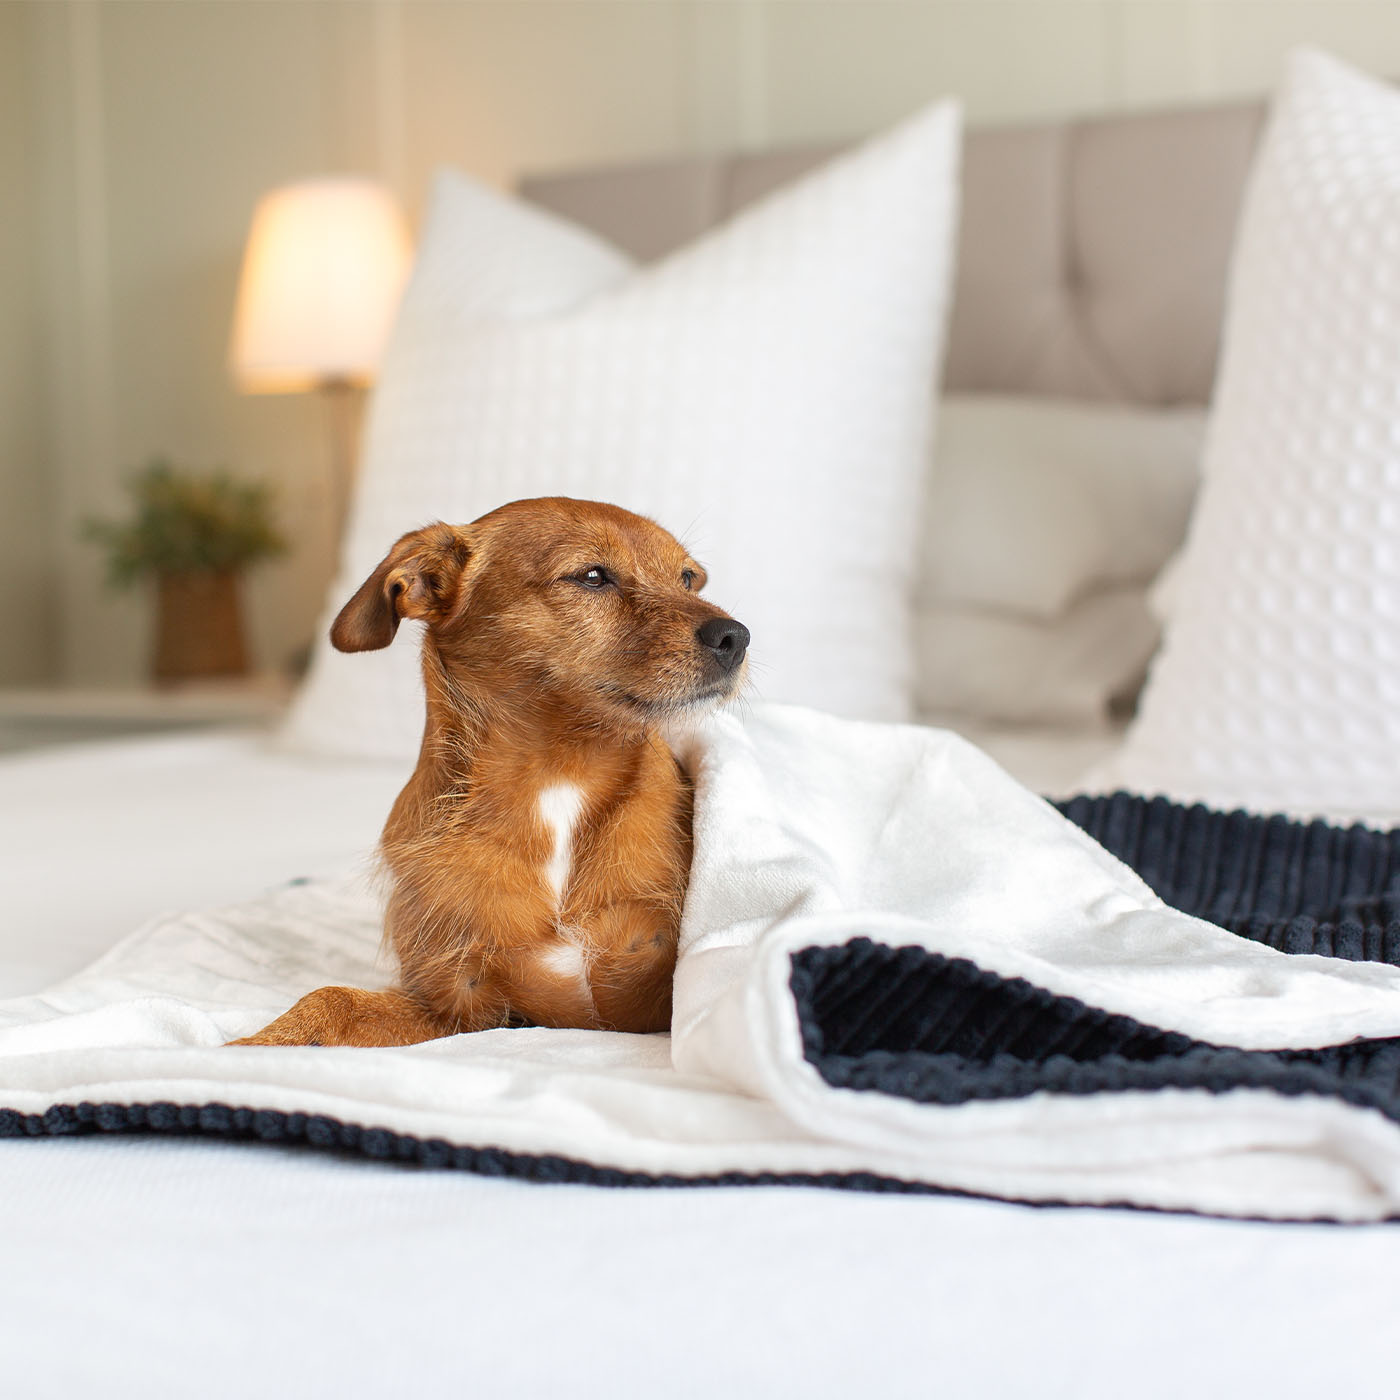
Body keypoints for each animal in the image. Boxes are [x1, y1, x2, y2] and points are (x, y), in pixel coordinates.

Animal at [235, 498, 750, 1047]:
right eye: (593, 576)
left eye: (689, 579)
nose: (735, 636)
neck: (558, 774)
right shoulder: (460, 1007)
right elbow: (333, 999)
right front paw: (256, 1045)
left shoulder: (660, 988)